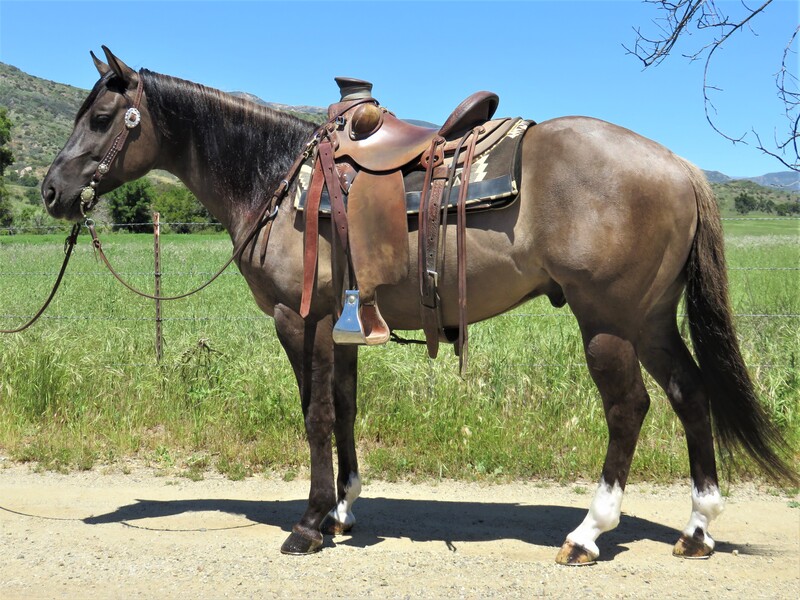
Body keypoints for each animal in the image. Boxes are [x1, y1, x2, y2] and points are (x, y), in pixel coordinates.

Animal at [42, 45, 792, 564]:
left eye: (102, 118)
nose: (52, 191)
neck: (276, 179)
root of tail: (678, 164)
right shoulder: (341, 325)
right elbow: (344, 410)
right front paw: (343, 513)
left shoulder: (301, 320)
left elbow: (315, 415)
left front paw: (309, 525)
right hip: (650, 318)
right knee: (690, 394)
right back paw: (697, 527)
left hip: (607, 319)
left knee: (629, 408)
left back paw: (588, 533)